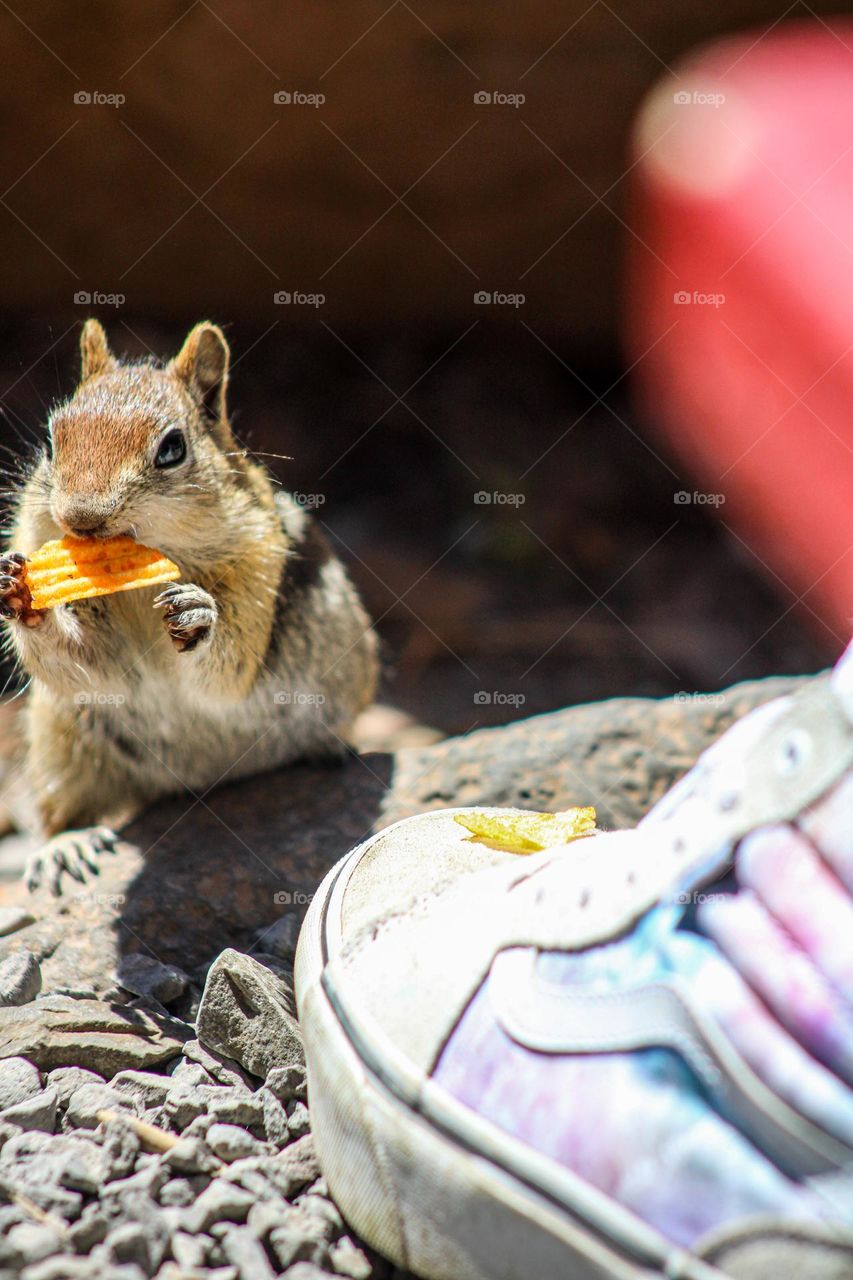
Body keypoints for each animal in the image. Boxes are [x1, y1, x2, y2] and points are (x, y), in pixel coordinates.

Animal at [0, 320, 378, 894]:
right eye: (50, 439)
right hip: (59, 740)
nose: (80, 519)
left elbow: (229, 674)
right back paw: (67, 845)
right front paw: (21, 594)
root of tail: (202, 781)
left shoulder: (255, 567)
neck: (137, 580)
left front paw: (200, 618)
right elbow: (92, 671)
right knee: (64, 805)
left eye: (172, 448)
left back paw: (329, 749)